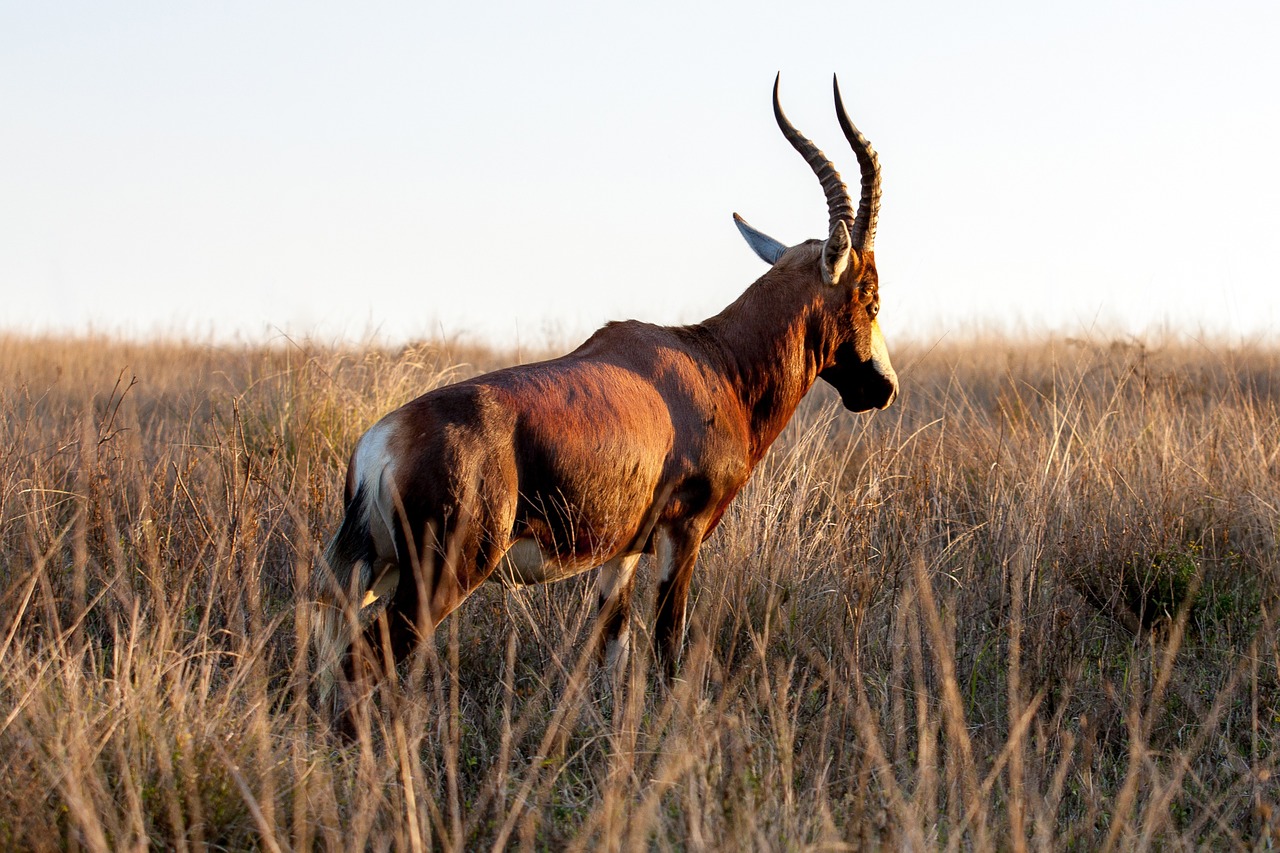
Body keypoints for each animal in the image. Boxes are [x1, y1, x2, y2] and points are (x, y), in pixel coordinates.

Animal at [311, 74, 901, 712]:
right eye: (870, 295)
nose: (883, 388)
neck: (711, 360)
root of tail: (381, 445)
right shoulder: (684, 529)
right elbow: (667, 641)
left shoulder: (624, 548)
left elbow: (611, 648)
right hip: (439, 579)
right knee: (361, 661)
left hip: (376, 571)